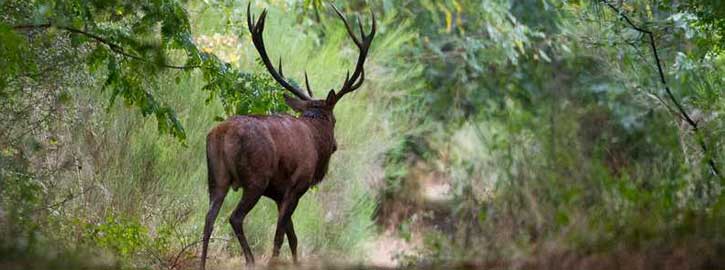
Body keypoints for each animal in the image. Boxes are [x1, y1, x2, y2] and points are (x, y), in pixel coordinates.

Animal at [201, 3, 376, 268]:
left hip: (216, 176)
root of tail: (222, 134)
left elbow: (293, 238)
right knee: (235, 217)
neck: (315, 140)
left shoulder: (278, 193)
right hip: (255, 178)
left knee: (208, 219)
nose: (335, 145)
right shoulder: (297, 185)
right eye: (335, 121)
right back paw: (251, 260)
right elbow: (280, 237)